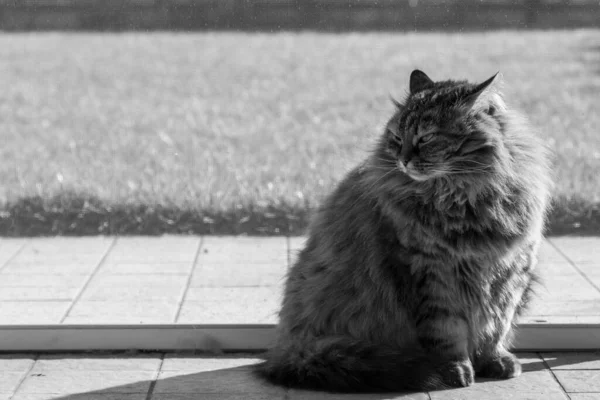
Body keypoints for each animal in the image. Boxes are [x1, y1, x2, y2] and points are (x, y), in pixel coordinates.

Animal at [255, 70, 552, 392]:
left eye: (427, 137)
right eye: (397, 138)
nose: (404, 160)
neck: (462, 199)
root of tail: (286, 347)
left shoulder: (509, 272)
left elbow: (496, 326)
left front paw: (494, 360)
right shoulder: (429, 273)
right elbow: (447, 334)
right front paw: (455, 369)